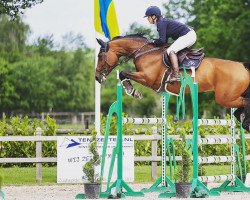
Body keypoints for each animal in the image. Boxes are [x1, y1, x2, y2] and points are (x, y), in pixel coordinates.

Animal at [94, 34, 249, 131]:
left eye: (100, 56)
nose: (97, 77)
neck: (144, 52)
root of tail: (243, 66)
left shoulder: (147, 78)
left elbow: (123, 73)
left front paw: (132, 91)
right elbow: (123, 74)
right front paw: (132, 90)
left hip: (225, 98)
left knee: (245, 104)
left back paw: (246, 123)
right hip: (230, 97)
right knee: (239, 110)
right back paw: (245, 123)